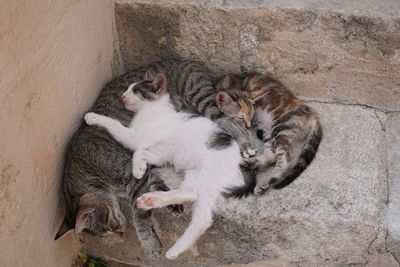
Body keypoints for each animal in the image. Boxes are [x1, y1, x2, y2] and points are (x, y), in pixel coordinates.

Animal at [54, 60, 258, 255]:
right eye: (127, 89)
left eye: (134, 90)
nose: (122, 96)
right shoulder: (156, 153)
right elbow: (142, 153)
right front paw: (140, 167)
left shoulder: (136, 139)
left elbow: (118, 128)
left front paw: (94, 118)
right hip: (197, 176)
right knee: (194, 200)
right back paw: (158, 210)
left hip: (204, 118)